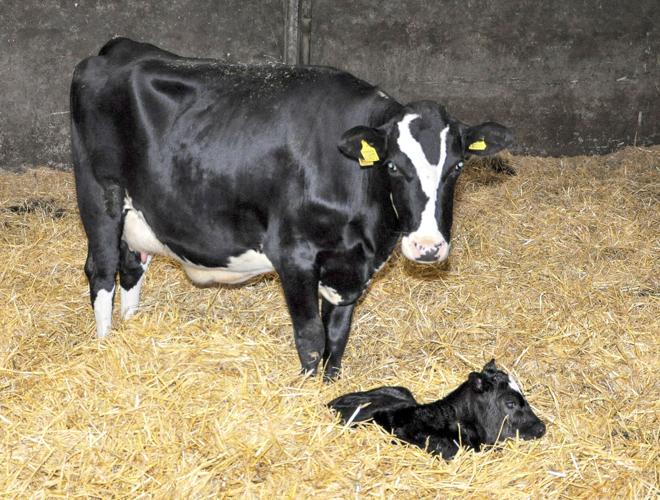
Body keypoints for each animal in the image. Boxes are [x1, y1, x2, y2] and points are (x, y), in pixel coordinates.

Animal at [70, 38, 513, 379]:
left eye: (457, 167)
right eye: (392, 166)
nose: (427, 247)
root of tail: (116, 49)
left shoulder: (348, 267)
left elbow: (337, 336)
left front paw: (329, 389)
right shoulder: (294, 255)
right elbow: (311, 337)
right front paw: (304, 389)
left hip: (138, 213)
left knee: (132, 267)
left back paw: (131, 329)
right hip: (99, 195)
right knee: (102, 270)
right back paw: (106, 342)